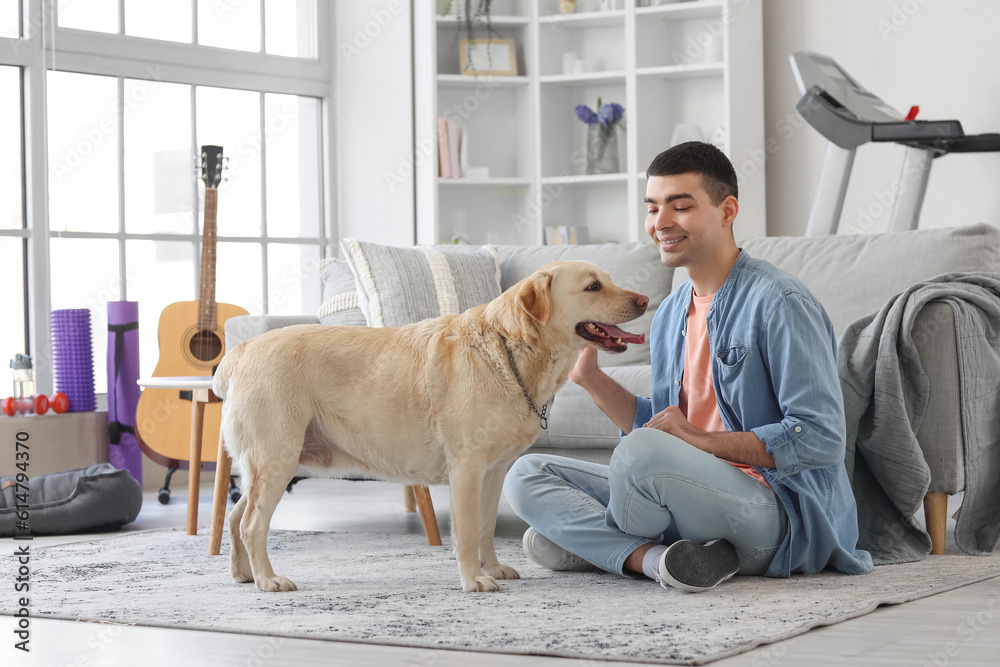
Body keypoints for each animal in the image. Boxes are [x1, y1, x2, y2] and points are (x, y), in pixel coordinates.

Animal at [214, 260, 644, 596]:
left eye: (608, 279)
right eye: (593, 286)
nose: (643, 300)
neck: (509, 350)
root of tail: (242, 350)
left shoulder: (494, 471)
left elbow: (486, 526)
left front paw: (493, 568)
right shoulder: (467, 468)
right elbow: (467, 531)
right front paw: (474, 580)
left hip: (267, 464)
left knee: (235, 518)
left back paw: (243, 576)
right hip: (278, 458)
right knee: (251, 523)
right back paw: (268, 580)